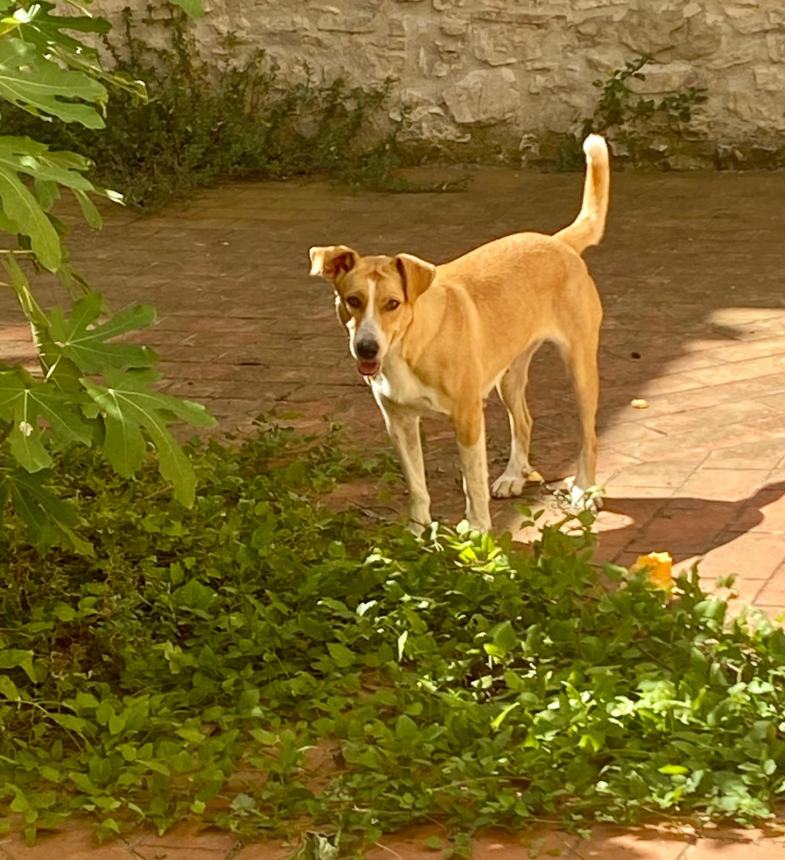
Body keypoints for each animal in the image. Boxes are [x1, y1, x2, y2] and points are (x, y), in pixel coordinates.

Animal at [310, 134, 608, 532]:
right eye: (352, 300)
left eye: (392, 303)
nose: (367, 348)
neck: (409, 347)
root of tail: (557, 241)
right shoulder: (399, 422)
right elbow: (417, 486)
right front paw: (418, 532)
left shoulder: (468, 418)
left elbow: (473, 485)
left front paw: (479, 532)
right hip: (509, 375)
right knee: (524, 420)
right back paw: (513, 476)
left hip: (580, 367)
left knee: (588, 435)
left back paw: (584, 489)